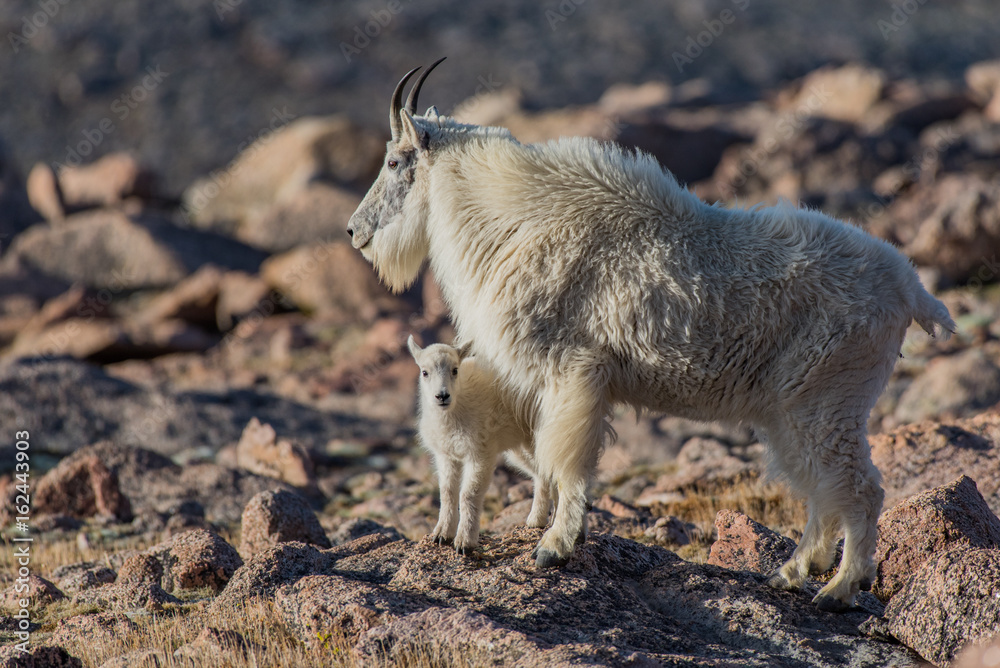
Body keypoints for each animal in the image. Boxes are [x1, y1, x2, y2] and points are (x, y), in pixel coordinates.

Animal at [407, 336, 551, 553]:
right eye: (424, 372)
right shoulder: (446, 455)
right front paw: (441, 535)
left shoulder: (480, 452)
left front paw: (464, 542)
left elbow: (469, 494)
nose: (442, 396)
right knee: (544, 475)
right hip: (523, 447)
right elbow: (447, 491)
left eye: (455, 370)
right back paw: (538, 521)